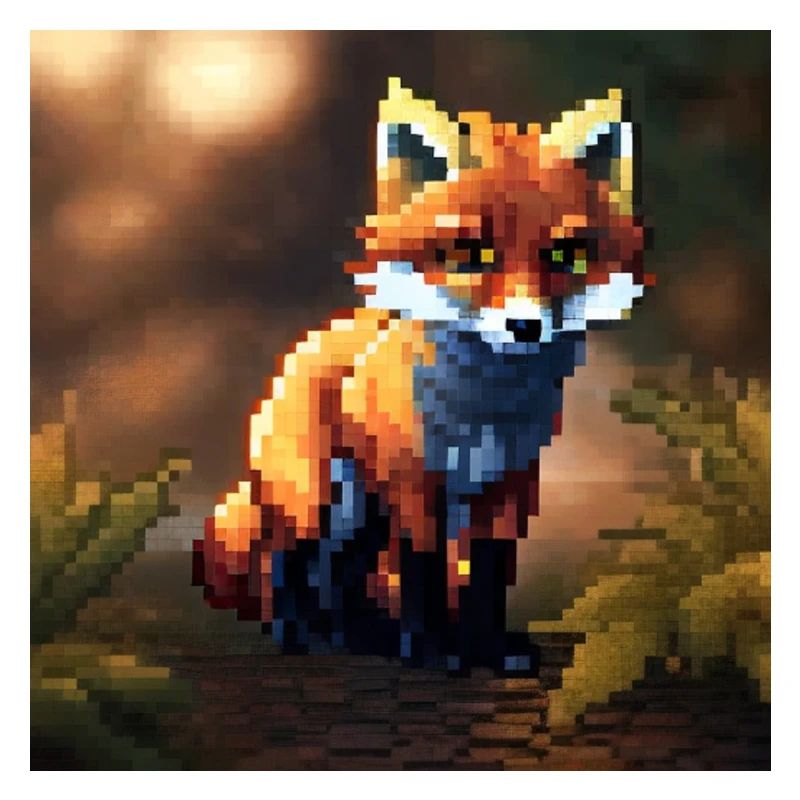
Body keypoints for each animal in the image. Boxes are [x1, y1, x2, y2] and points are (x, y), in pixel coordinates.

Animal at [193, 78, 651, 674]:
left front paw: (487, 649)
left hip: (363, 515)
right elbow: (425, 571)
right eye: (470, 254)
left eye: (567, 255)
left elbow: (488, 576)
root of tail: (306, 343)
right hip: (319, 500)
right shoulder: (416, 485)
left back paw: (359, 636)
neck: (484, 411)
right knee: (288, 561)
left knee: (342, 576)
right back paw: (298, 633)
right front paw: (434, 651)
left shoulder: (509, 487)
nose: (525, 326)